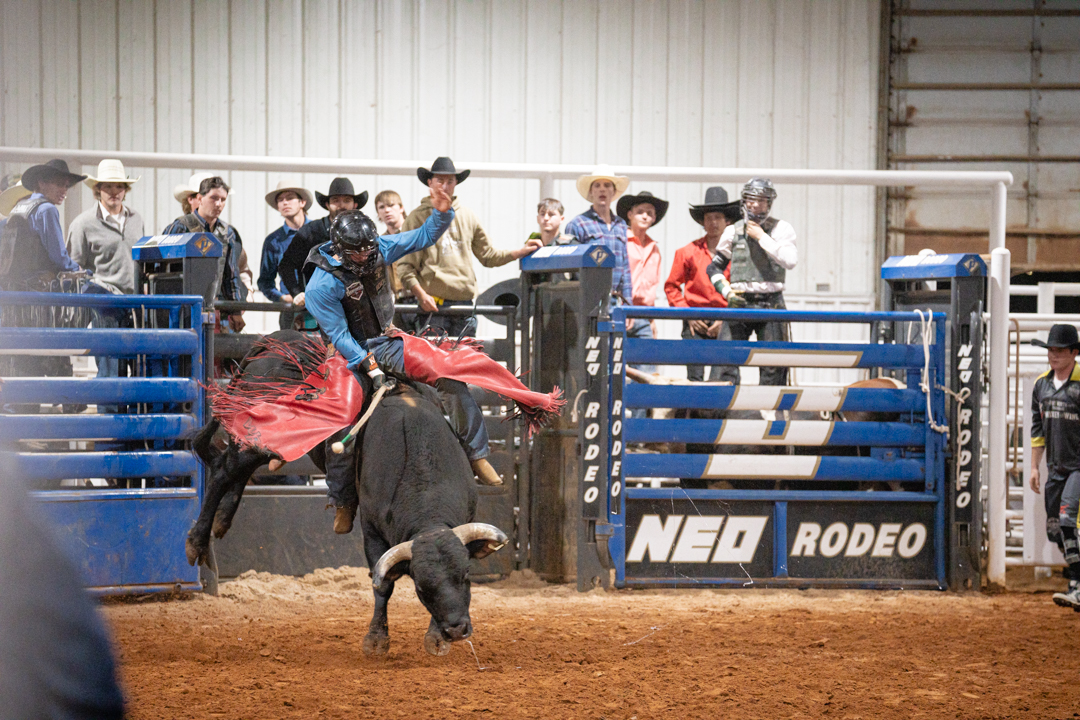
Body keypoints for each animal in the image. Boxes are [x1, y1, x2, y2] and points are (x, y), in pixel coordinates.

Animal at [191, 332, 509, 660]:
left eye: (466, 574)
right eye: (422, 588)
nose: (456, 629)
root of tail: (275, 341)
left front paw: (435, 638)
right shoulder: (371, 529)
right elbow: (382, 586)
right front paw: (376, 639)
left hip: (264, 443)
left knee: (234, 471)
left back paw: (222, 521)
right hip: (257, 435)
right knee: (221, 471)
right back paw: (197, 542)